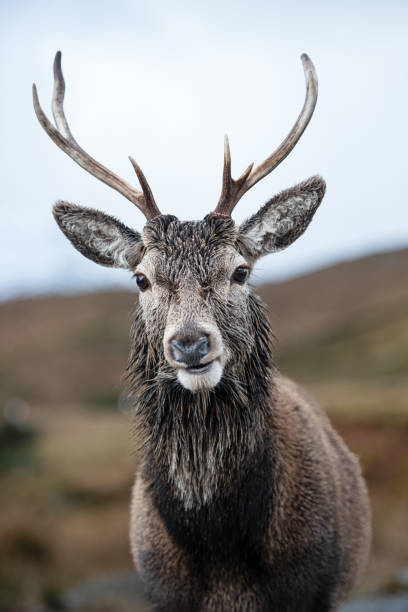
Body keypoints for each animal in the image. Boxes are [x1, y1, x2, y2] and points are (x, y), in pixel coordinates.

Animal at [34, 52, 372, 612]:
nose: (190, 343)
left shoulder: (316, 589)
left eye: (241, 271)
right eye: (141, 278)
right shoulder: (163, 593)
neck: (224, 554)